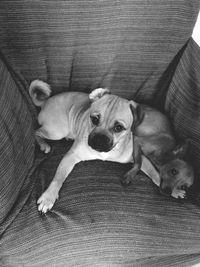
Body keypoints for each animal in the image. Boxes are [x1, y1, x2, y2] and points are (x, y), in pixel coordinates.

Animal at [29, 80, 142, 215]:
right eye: (94, 119)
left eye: (118, 128)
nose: (100, 138)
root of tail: (45, 102)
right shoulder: (71, 157)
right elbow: (58, 178)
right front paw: (48, 197)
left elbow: (145, 167)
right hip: (57, 131)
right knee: (36, 131)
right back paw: (43, 144)